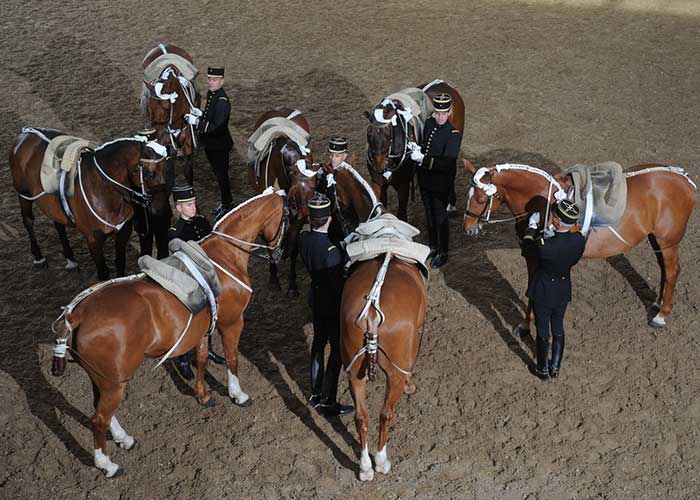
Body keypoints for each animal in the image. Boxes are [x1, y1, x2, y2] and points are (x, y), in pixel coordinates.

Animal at [11, 127, 170, 280]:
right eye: (149, 174)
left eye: (166, 168)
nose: (161, 209)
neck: (104, 192)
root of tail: (26, 133)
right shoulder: (93, 239)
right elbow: (103, 272)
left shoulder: (123, 231)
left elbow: (120, 262)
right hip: (24, 195)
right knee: (28, 220)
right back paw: (38, 257)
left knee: (58, 223)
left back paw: (70, 258)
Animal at [50, 189, 288, 478]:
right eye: (288, 215)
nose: (280, 253)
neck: (223, 257)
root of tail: (78, 313)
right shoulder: (232, 323)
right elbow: (232, 359)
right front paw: (238, 394)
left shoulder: (201, 331)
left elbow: (201, 359)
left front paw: (203, 395)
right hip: (115, 383)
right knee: (98, 419)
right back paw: (107, 464)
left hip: (103, 380)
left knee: (102, 412)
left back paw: (123, 439)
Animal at [249, 107, 320, 294]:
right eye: (297, 191)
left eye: (313, 188)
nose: (306, 214)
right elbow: (271, 245)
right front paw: (274, 279)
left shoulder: (296, 220)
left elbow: (294, 246)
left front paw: (292, 284)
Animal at [364, 80, 468, 221]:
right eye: (369, 133)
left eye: (388, 135)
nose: (378, 168)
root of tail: (444, 83)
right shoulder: (377, 184)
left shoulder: (403, 184)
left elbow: (401, 215)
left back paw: (451, 205)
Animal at [462, 162, 696, 330]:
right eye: (468, 195)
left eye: (481, 199)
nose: (468, 228)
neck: (543, 200)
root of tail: (683, 178)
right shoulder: (531, 257)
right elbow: (531, 289)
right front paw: (525, 325)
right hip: (656, 239)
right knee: (664, 269)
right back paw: (657, 304)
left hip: (668, 241)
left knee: (673, 271)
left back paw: (661, 315)